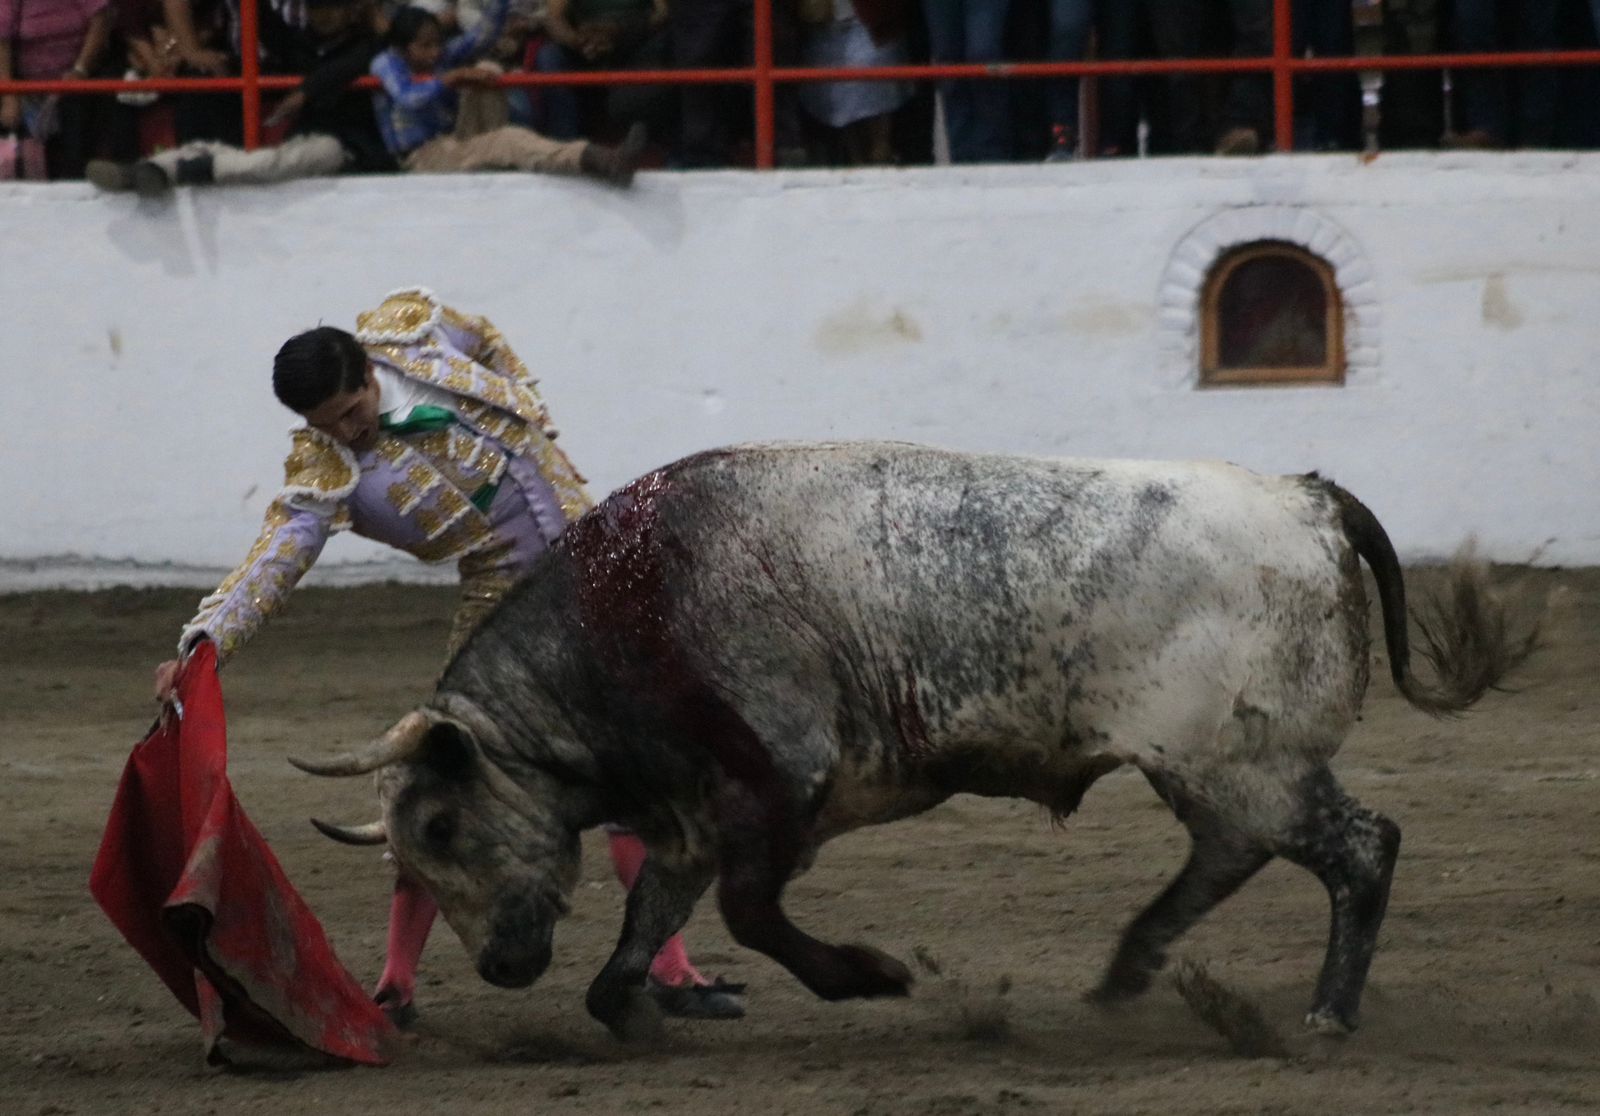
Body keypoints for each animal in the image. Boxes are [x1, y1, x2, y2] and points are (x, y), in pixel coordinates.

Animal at [294, 441, 1529, 1036]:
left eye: (440, 825)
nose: (500, 969)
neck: (625, 619)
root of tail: (1305, 497)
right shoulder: (693, 817)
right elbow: (647, 924)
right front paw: (632, 1010)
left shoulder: (777, 785)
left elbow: (751, 913)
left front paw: (869, 976)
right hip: (1212, 770)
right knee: (1233, 856)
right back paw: (1126, 973)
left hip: (1246, 763)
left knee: (1359, 849)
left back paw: (1325, 1013)